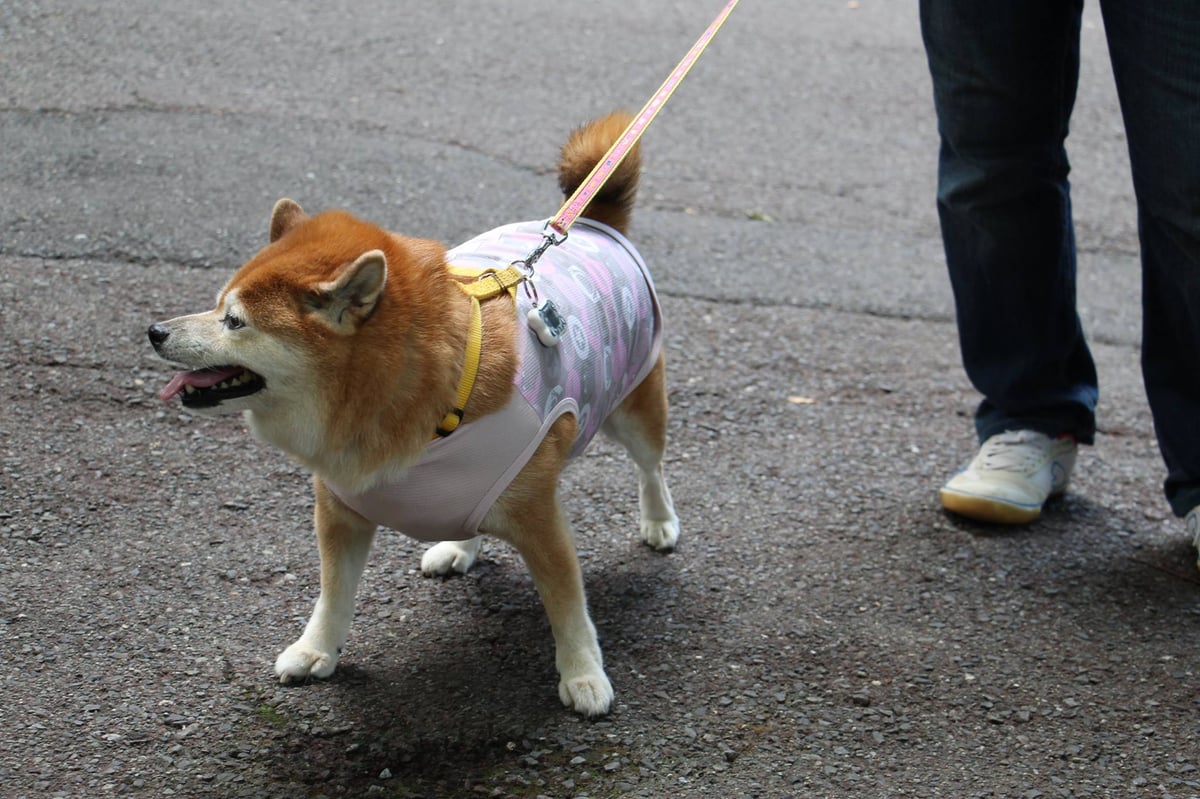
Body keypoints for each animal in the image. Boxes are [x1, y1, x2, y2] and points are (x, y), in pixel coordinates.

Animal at [142, 109, 676, 710]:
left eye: (234, 322)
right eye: (217, 306)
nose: (155, 331)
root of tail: (591, 225)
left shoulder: (541, 521)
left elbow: (567, 608)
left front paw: (583, 675)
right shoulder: (339, 511)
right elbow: (333, 595)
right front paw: (315, 650)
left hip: (635, 410)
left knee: (651, 466)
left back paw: (659, 520)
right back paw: (459, 547)